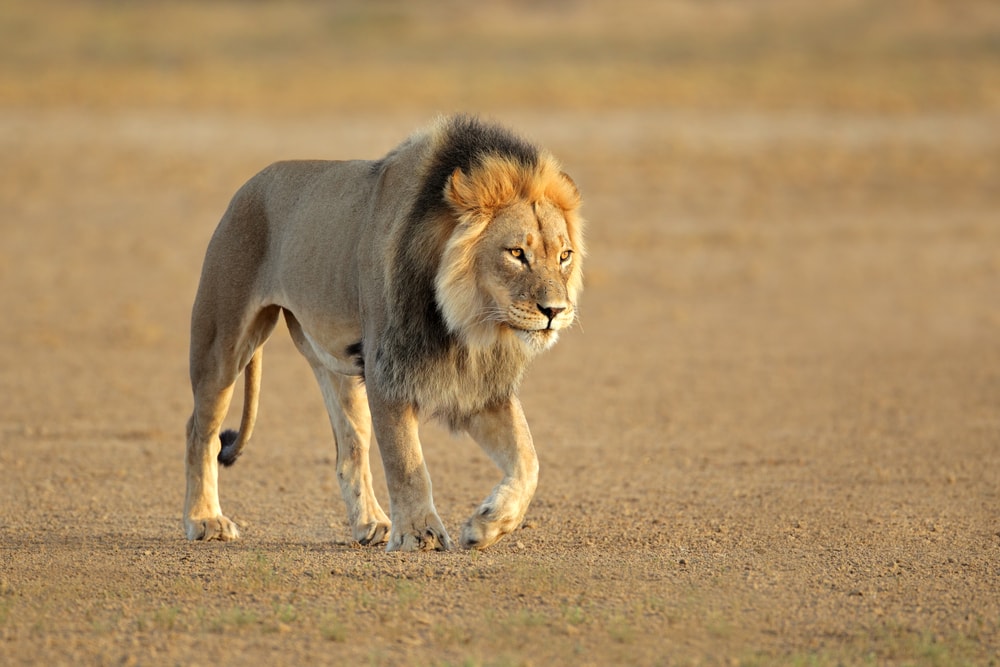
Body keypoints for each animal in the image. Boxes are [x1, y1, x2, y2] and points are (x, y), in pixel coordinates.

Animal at [184, 115, 584, 551]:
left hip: (336, 368)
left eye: (564, 255)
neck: (467, 322)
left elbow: (529, 460)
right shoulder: (387, 370)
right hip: (221, 342)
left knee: (349, 452)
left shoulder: (479, 386)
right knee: (200, 431)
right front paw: (420, 534)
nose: (555, 311)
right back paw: (205, 520)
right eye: (516, 253)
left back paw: (370, 524)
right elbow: (406, 460)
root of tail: (251, 183)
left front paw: (486, 524)